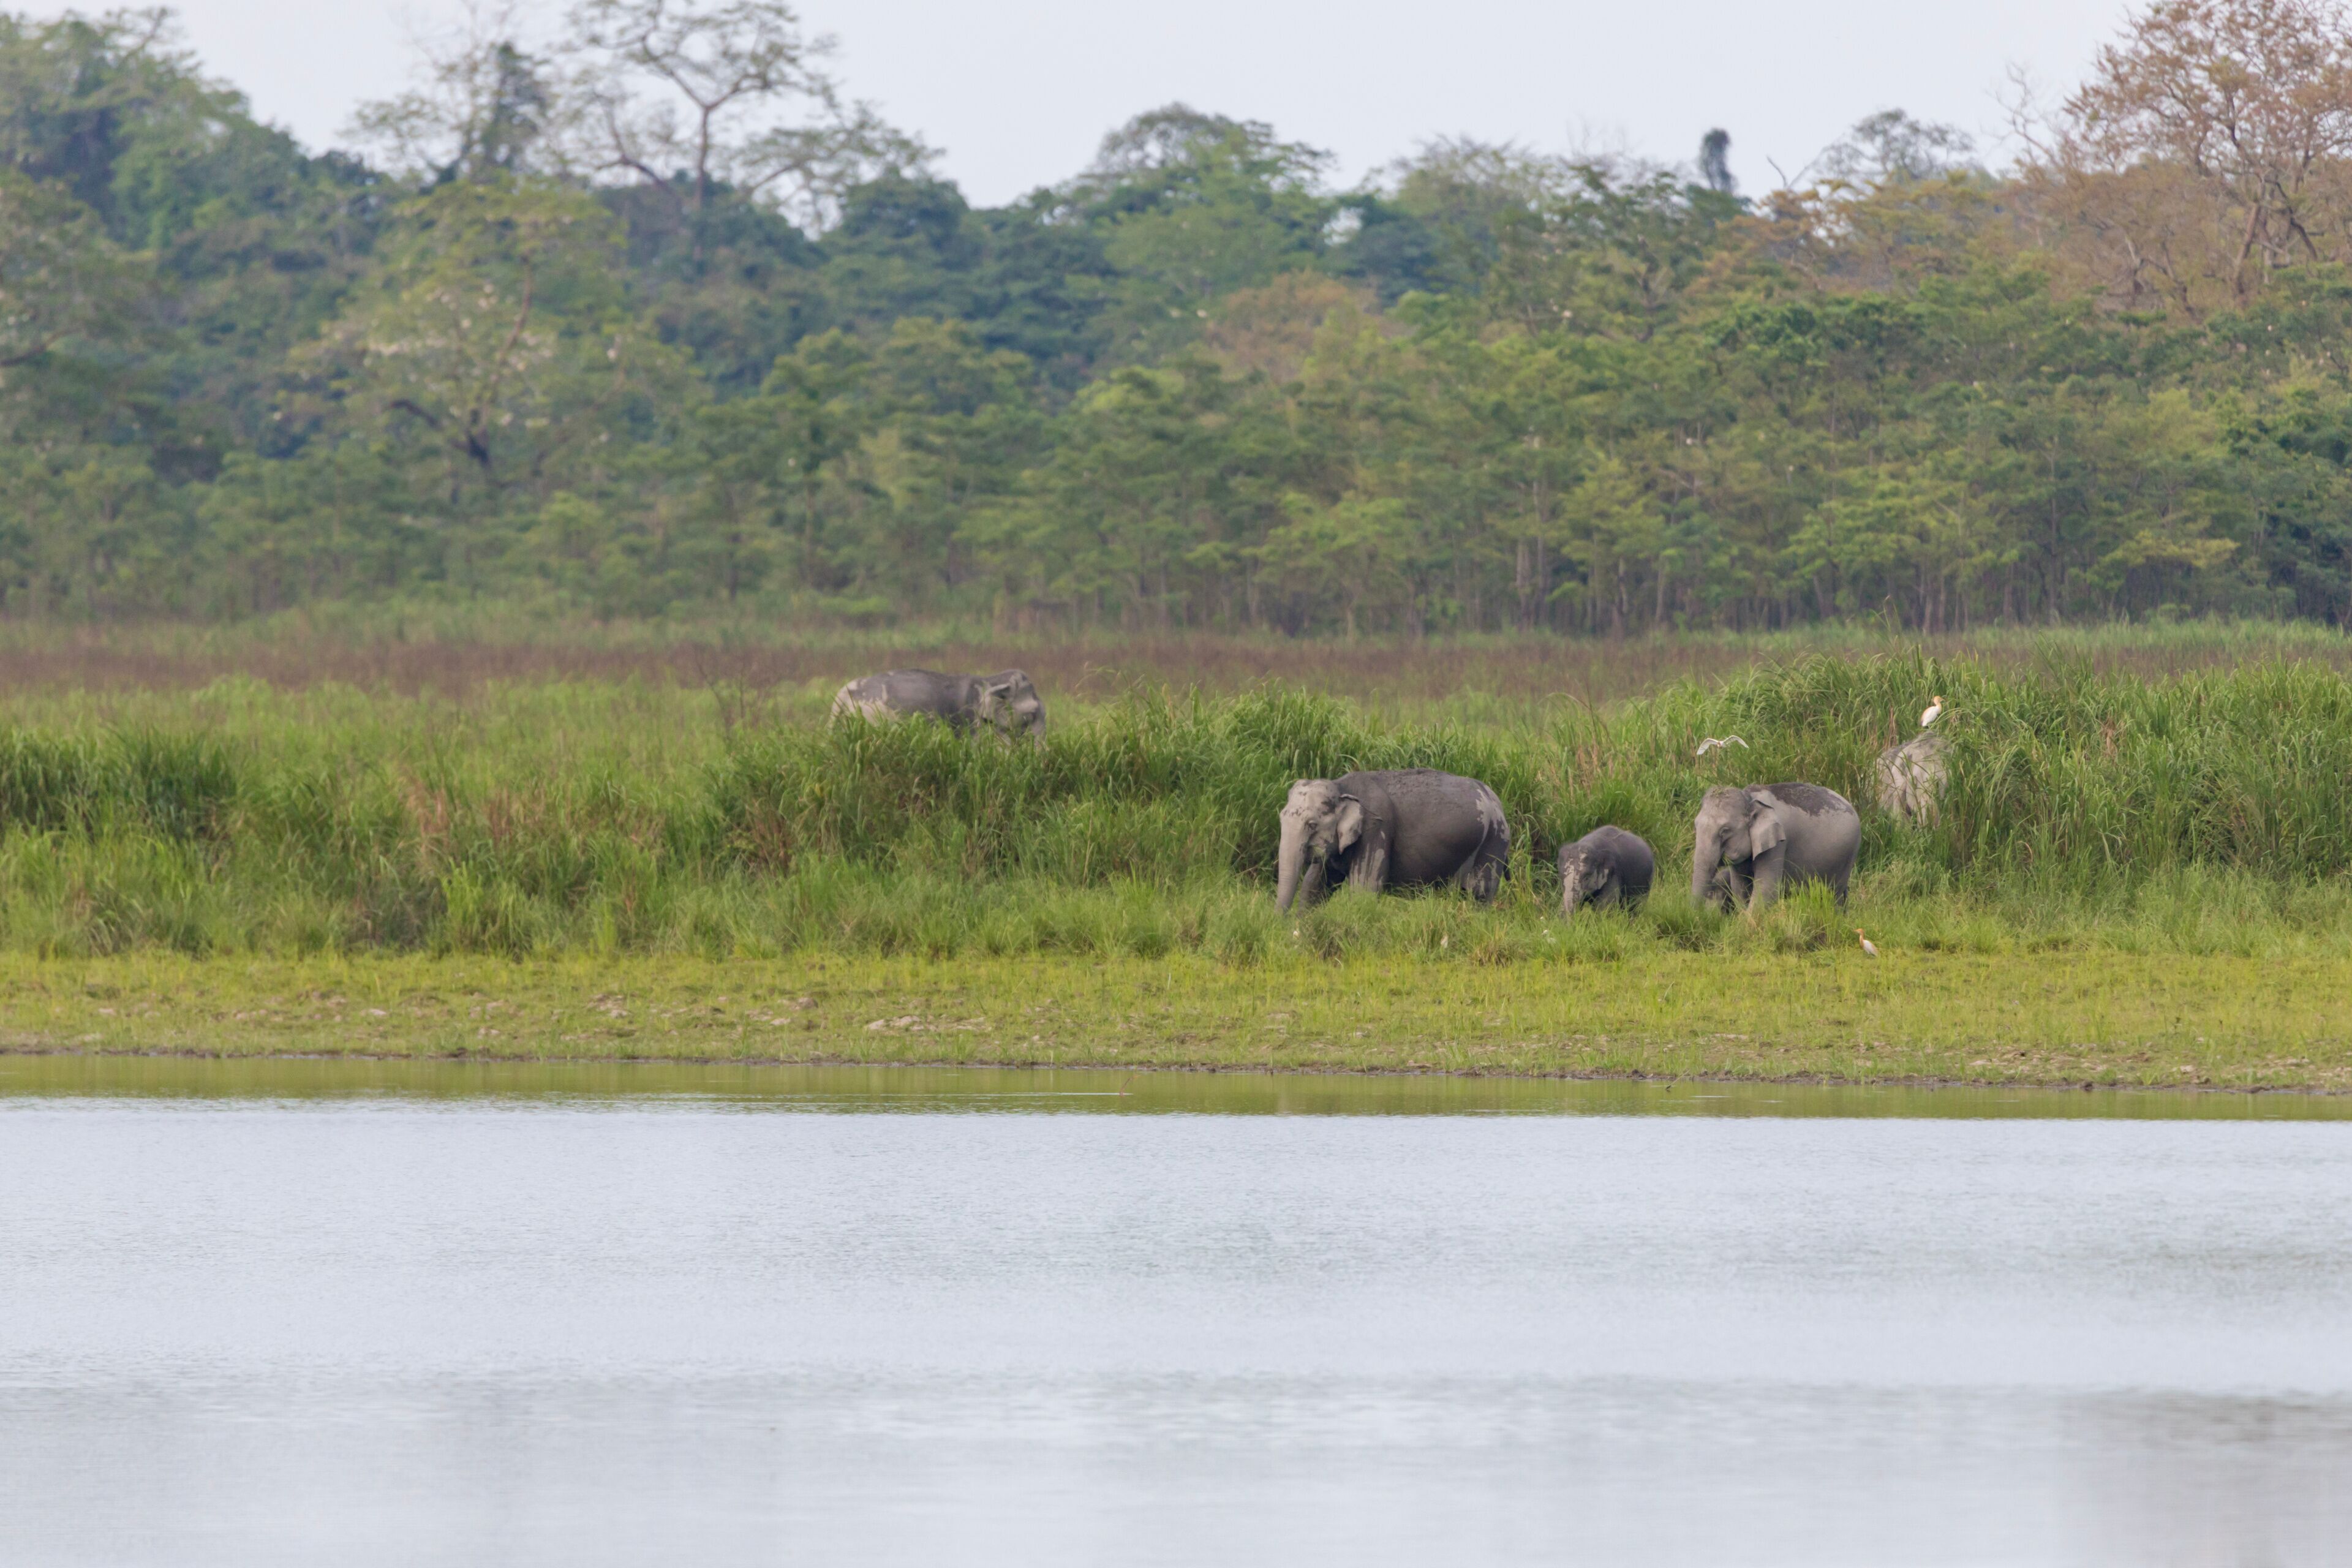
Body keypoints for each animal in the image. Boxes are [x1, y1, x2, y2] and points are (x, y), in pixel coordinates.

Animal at [1275, 769, 1509, 913]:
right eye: (1281, 817)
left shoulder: (1376, 828)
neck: (1341, 786)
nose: (1279, 924)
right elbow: (1315, 886)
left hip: (1494, 841)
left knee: (1479, 893)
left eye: (1312, 825)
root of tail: (1495, 799)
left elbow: (1364, 889)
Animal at [1690, 782, 1861, 913]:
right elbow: (1740, 888)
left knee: (1834, 895)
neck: (1750, 799)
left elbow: (1766, 889)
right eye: (1696, 825)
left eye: (1725, 831)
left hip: (1848, 856)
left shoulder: (1778, 843)